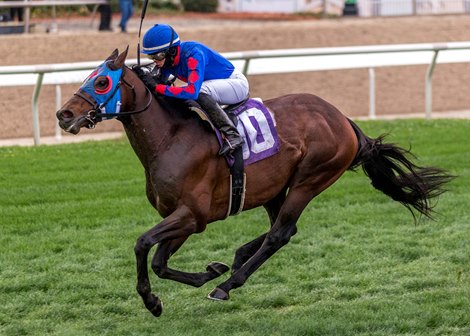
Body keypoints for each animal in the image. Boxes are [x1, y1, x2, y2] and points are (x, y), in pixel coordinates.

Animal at [57, 48, 454, 318]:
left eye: (102, 81)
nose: (64, 114)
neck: (171, 140)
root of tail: (342, 118)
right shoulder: (182, 218)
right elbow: (159, 261)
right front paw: (203, 273)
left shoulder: (193, 216)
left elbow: (142, 245)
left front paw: (155, 299)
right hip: (274, 188)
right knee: (283, 229)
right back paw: (235, 261)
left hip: (311, 179)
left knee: (281, 232)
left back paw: (227, 285)